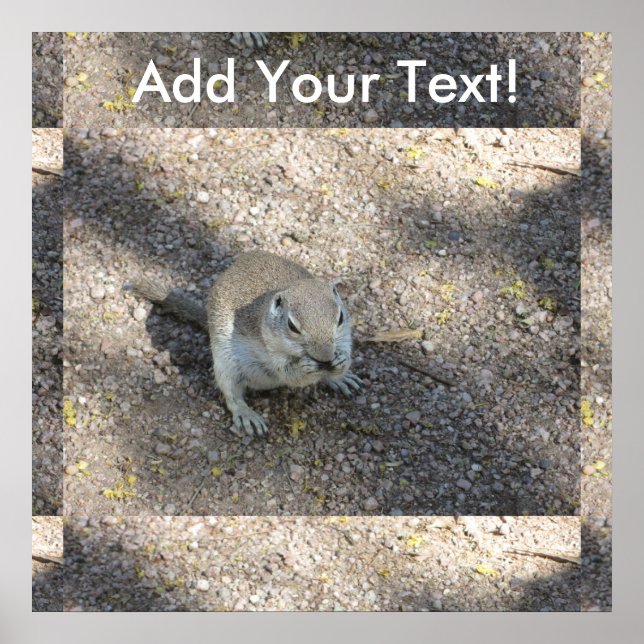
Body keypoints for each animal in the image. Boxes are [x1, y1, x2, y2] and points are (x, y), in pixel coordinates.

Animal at [127, 251, 362, 437]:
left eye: (340, 318)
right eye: (292, 326)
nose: (325, 357)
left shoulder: (345, 336)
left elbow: (345, 351)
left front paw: (341, 363)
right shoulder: (272, 349)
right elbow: (289, 374)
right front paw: (306, 367)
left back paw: (339, 379)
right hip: (225, 365)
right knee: (231, 394)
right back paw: (246, 414)